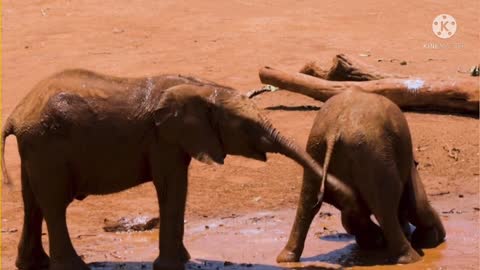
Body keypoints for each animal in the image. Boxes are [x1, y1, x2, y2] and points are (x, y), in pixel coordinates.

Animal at [0, 69, 330, 270]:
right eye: (246, 125)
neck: (202, 87)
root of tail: (16, 114)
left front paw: (182, 259)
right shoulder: (163, 139)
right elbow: (172, 186)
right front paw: (175, 264)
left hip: (37, 148)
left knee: (33, 204)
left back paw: (32, 264)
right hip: (47, 146)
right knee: (54, 205)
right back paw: (73, 266)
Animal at [278, 89, 446, 264]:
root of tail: (335, 129)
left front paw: (374, 240)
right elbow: (417, 205)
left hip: (316, 148)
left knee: (307, 200)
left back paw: (286, 259)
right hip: (373, 153)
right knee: (386, 205)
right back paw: (411, 259)